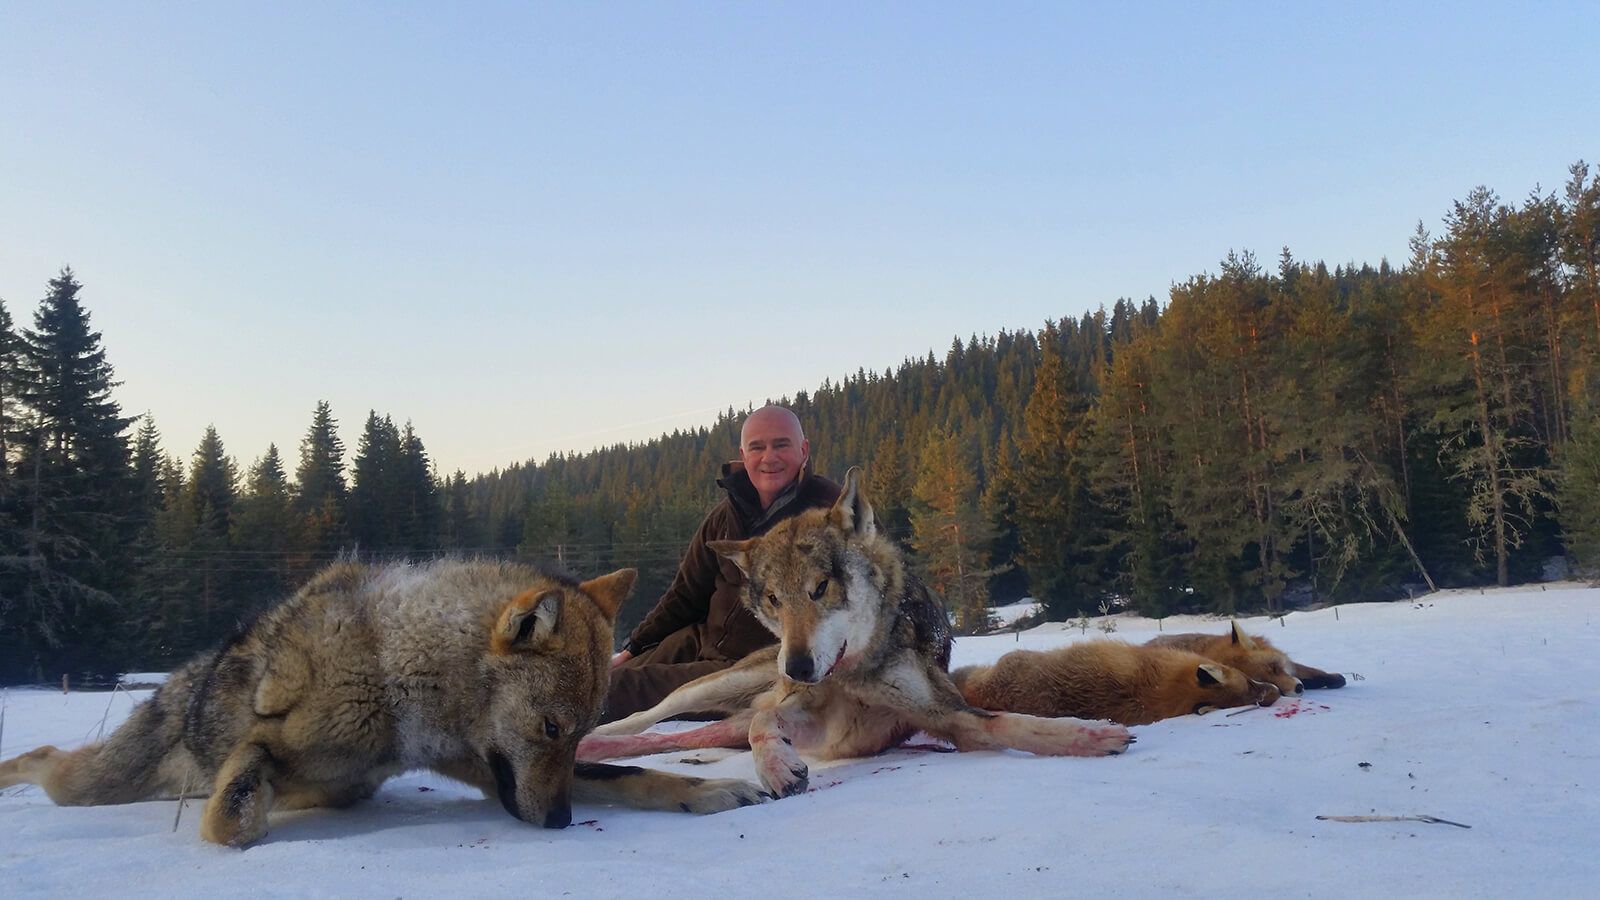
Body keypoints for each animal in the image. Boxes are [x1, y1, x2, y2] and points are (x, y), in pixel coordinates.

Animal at [0, 560, 764, 846]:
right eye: (550, 726)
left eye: (579, 734)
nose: (559, 823)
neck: (399, 682)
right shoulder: (265, 748)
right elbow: (234, 810)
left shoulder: (485, 772)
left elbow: (629, 772)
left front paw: (707, 792)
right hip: (89, 783)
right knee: (42, 753)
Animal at [579, 468, 1131, 798]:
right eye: (774, 600)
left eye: (821, 587)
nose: (797, 668)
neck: (854, 674)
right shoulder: (809, 720)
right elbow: (764, 724)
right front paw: (777, 767)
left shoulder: (944, 716)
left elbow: (1010, 724)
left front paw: (1089, 734)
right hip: (718, 684)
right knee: (656, 716)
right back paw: (596, 735)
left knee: (697, 731)